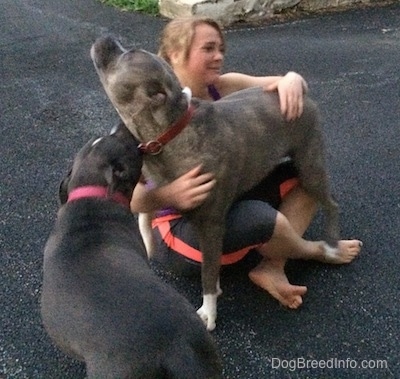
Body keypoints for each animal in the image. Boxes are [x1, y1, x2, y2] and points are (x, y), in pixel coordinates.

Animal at [90, 35, 340, 332]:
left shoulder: (211, 226)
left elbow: (208, 273)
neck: (169, 131)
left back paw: (333, 245)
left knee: (331, 203)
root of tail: (304, 95)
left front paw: (208, 312)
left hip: (310, 166)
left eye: (130, 55)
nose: (107, 38)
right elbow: (148, 214)